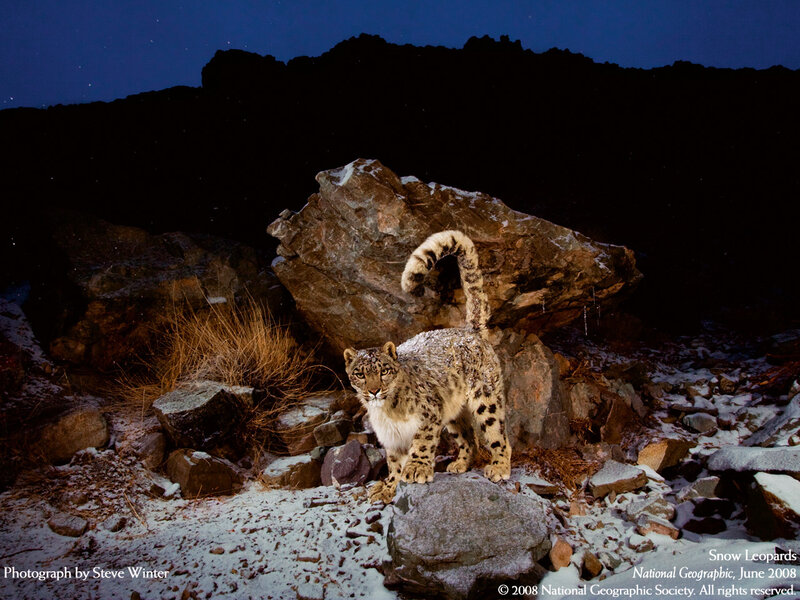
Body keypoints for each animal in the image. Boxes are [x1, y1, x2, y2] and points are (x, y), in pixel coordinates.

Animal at [343, 230, 511, 504]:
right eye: (359, 373)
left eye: (383, 371)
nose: (374, 391)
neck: (385, 412)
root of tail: (470, 332)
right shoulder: (392, 439)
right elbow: (394, 464)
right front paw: (387, 487)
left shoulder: (429, 414)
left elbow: (421, 443)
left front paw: (416, 469)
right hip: (454, 414)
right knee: (469, 438)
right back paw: (459, 464)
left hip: (486, 399)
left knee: (497, 432)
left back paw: (499, 467)